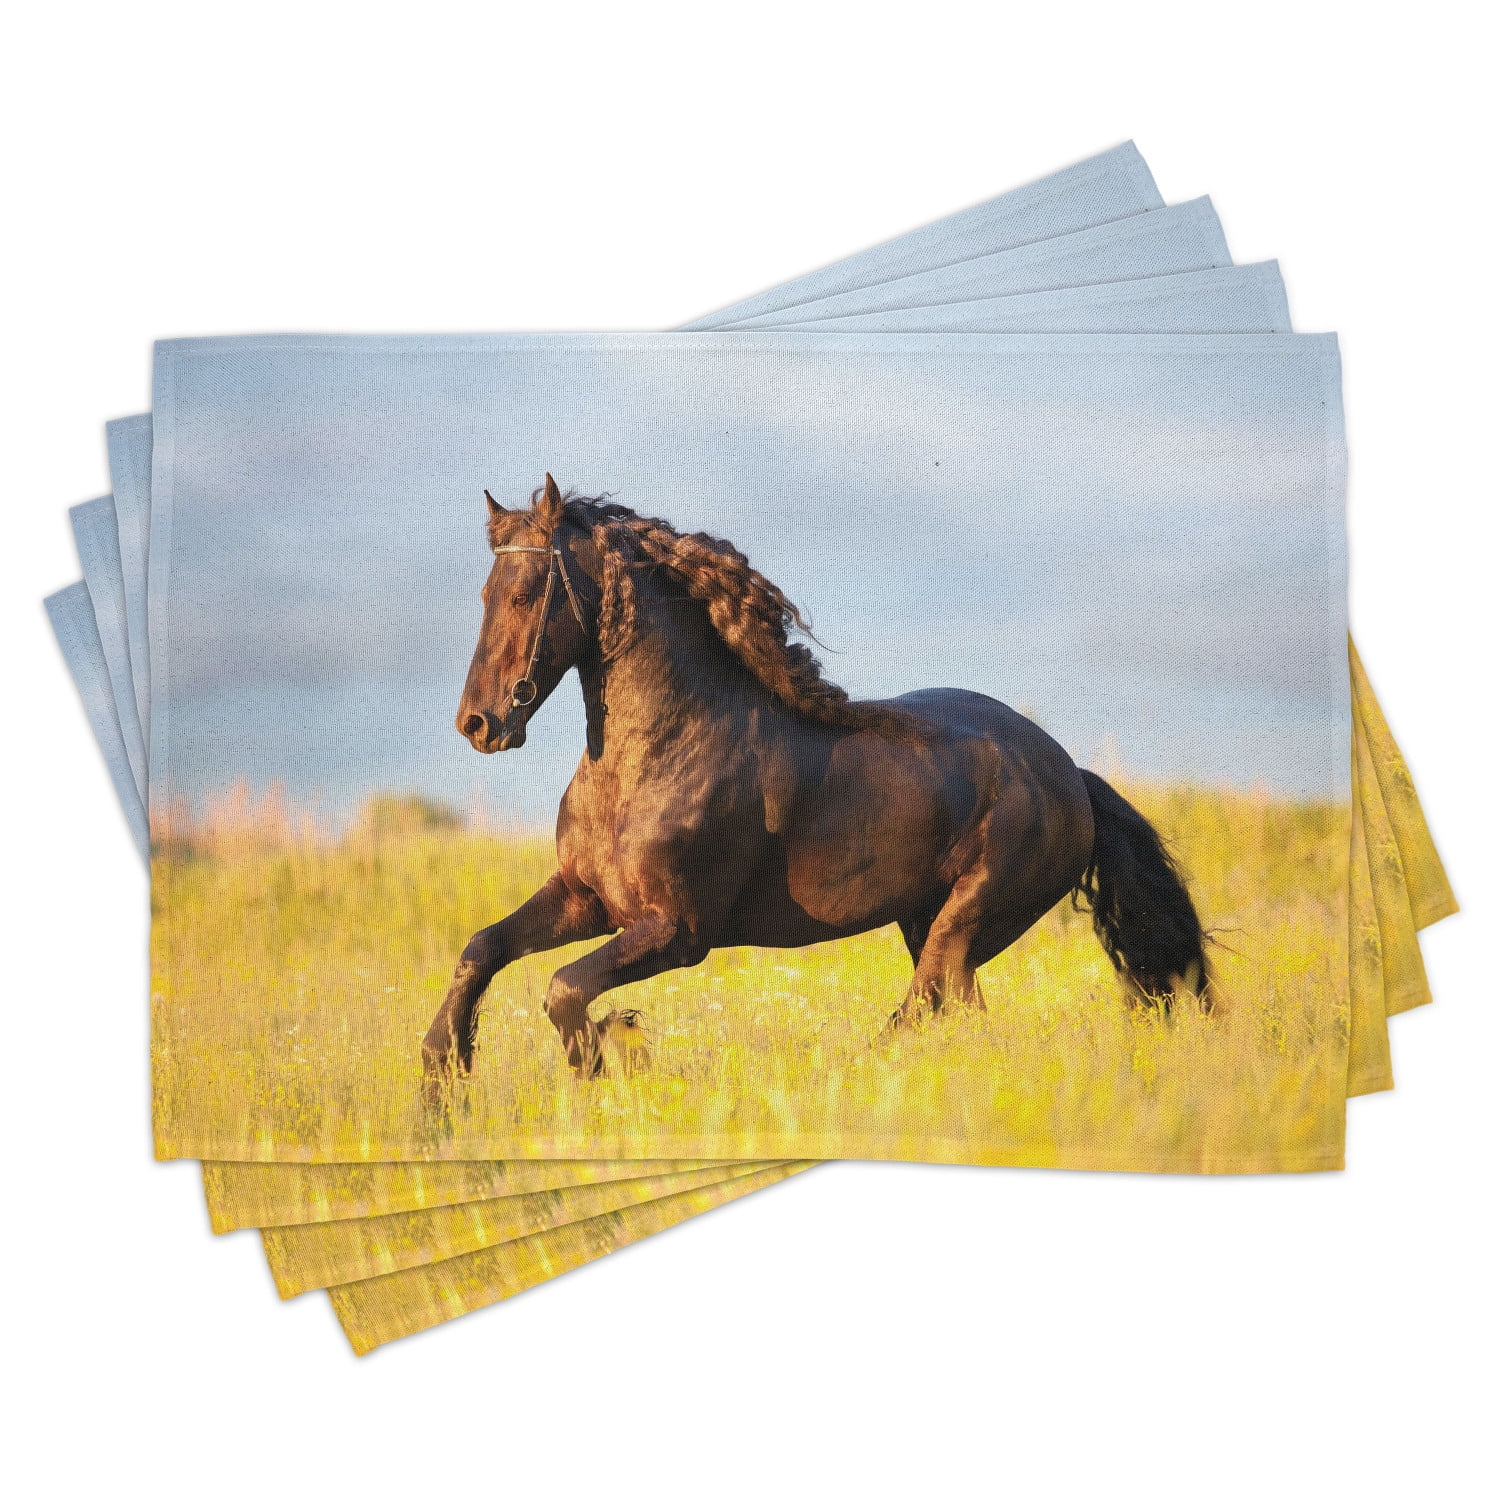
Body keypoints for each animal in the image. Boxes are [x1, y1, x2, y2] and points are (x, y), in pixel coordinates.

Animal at [420, 474, 1208, 1097]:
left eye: (527, 594)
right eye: (486, 593)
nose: (479, 723)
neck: (653, 758)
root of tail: (1069, 774)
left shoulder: (678, 932)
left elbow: (564, 991)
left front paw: (611, 1060)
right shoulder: (587, 899)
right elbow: (481, 951)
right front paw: (441, 1083)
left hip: (966, 922)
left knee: (921, 1008)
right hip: (927, 922)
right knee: (957, 1016)